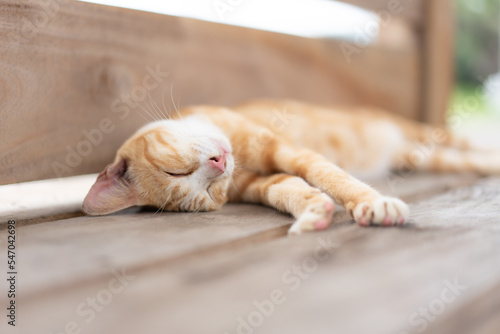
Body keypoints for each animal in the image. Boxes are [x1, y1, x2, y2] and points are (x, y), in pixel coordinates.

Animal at [81, 99, 492, 235]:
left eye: (174, 171)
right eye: (205, 192)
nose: (220, 163)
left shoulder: (285, 151)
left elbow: (330, 176)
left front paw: (371, 203)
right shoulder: (262, 182)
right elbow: (289, 190)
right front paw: (313, 212)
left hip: (423, 133)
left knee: (468, 144)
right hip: (421, 154)